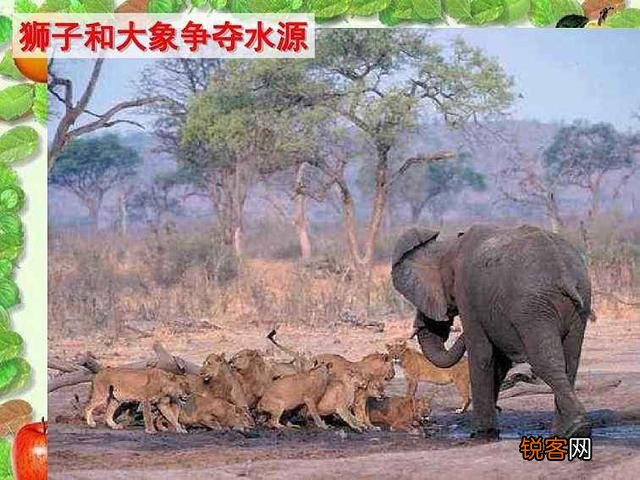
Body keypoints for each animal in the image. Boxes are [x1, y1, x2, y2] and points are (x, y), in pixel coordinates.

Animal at [391, 224, 592, 439]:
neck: (449, 246)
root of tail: (564, 274)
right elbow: (500, 361)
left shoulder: (467, 296)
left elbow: (482, 355)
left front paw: (480, 433)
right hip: (577, 305)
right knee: (570, 361)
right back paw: (565, 432)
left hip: (533, 309)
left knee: (545, 362)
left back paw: (577, 427)